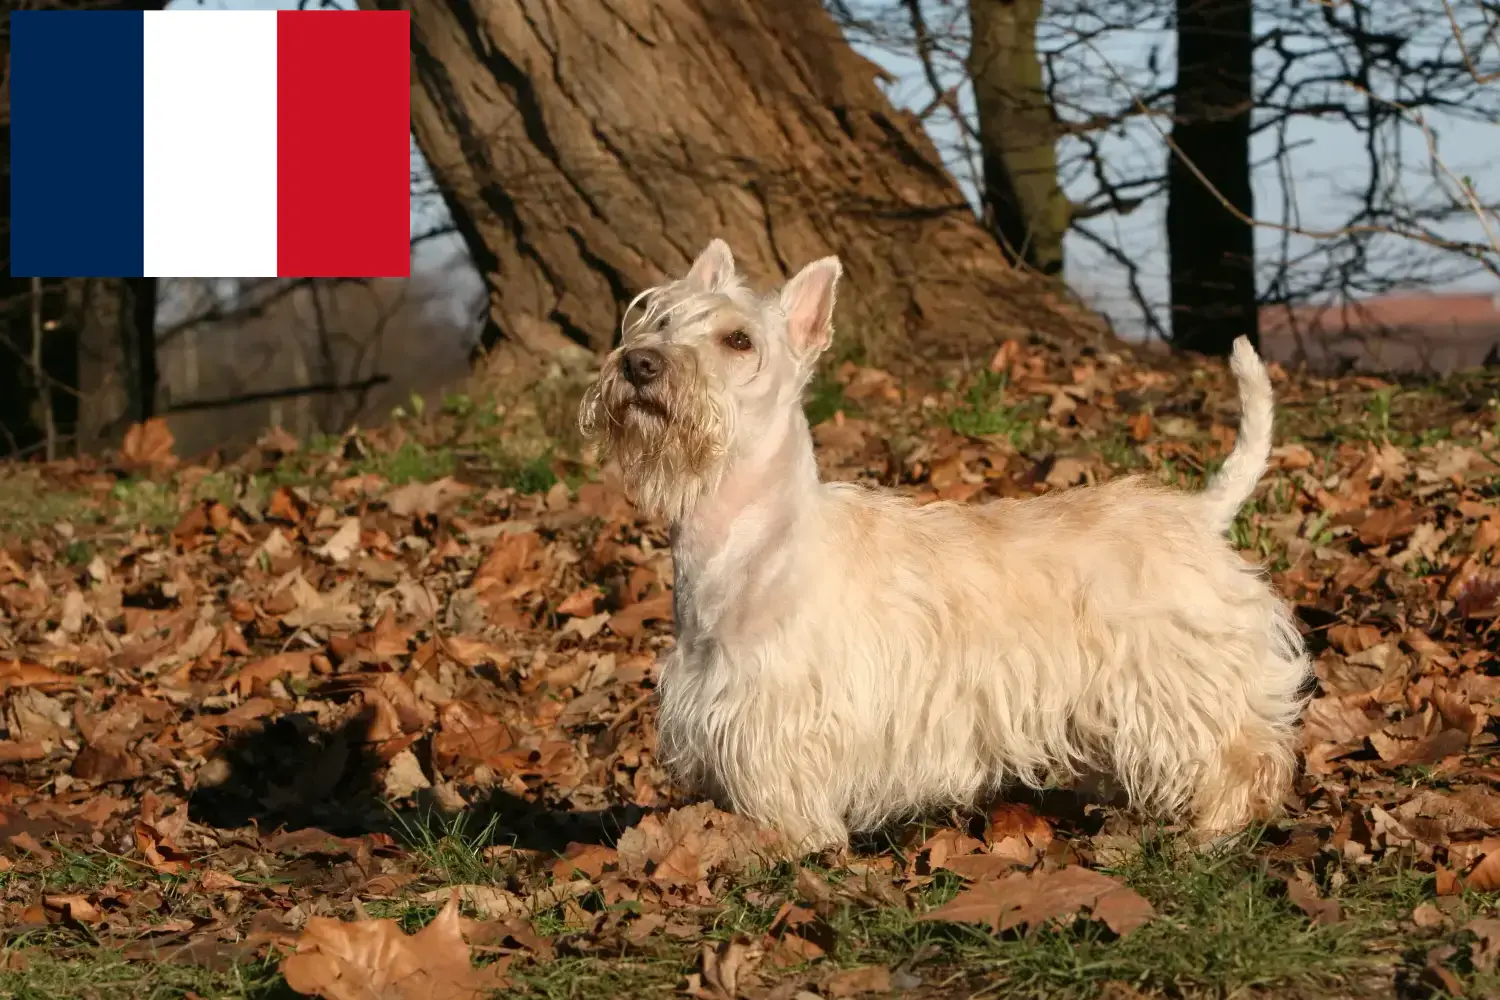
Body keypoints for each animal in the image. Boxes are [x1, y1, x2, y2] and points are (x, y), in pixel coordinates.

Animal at [579, 242, 1308, 851]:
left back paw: (1211, 831)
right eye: (658, 320)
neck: (748, 535)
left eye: (738, 340)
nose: (639, 364)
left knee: (1244, 754)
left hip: (1180, 678)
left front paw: (786, 850)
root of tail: (1199, 512)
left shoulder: (779, 719)